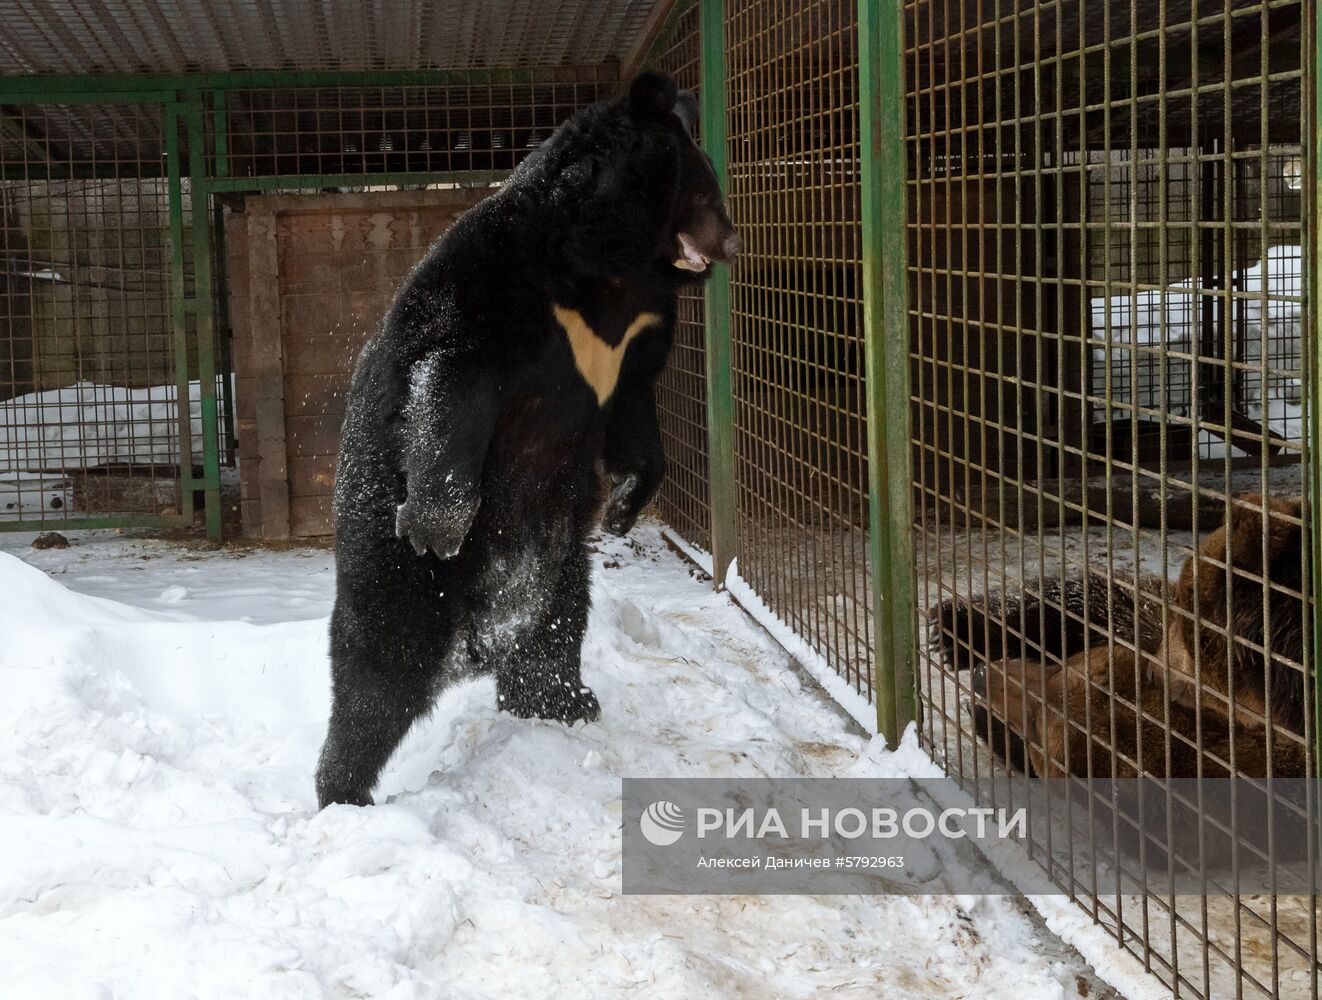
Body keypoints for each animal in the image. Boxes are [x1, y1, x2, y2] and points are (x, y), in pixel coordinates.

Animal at [314, 74, 740, 809]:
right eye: (705, 189)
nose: (733, 240)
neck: (606, 273)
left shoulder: (638, 335)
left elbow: (635, 413)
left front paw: (626, 503)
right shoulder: (498, 278)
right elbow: (451, 366)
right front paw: (439, 520)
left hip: (557, 547)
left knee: (555, 623)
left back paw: (562, 703)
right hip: (386, 553)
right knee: (380, 664)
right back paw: (344, 792)